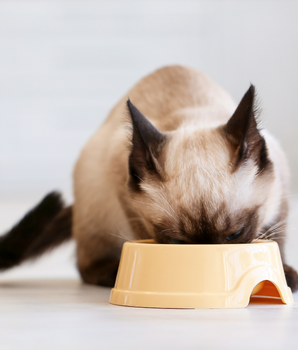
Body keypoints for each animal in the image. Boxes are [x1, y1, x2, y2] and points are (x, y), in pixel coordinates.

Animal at [0, 65, 298, 290]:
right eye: (178, 243)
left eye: (234, 235)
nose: (205, 264)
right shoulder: (125, 196)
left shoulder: (280, 197)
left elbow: (278, 242)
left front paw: (281, 276)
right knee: (84, 266)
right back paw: (112, 272)